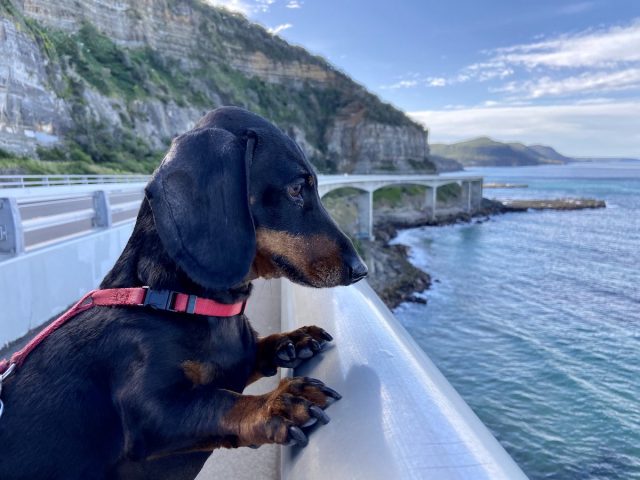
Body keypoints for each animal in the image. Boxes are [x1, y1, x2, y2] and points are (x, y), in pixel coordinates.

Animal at [0, 108, 368, 480]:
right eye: (296, 188)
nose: (361, 269)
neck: (175, 301)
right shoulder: (153, 413)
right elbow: (220, 402)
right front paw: (276, 404)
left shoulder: (238, 361)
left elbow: (254, 352)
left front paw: (293, 341)